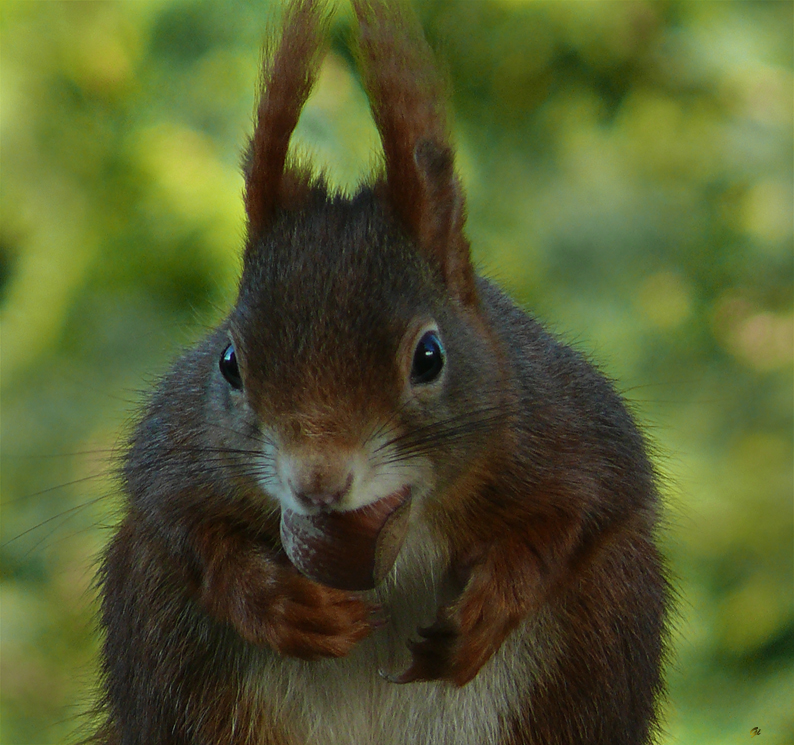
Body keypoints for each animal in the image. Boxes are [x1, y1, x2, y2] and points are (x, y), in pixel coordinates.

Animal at [91, 1, 668, 744]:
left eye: (430, 357)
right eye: (229, 363)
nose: (317, 482)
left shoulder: (563, 422)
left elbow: (585, 509)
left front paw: (490, 605)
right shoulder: (177, 445)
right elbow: (178, 523)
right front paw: (279, 605)